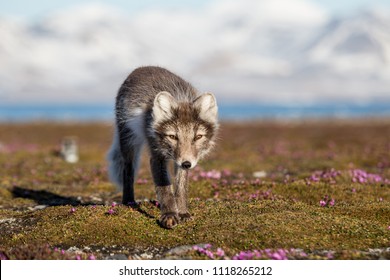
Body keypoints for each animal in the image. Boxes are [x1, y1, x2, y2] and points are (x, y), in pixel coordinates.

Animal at [108, 66, 218, 229]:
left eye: (198, 137)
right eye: (172, 136)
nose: (187, 164)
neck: (181, 98)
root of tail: (141, 68)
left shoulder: (182, 161)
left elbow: (181, 188)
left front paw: (182, 212)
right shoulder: (157, 155)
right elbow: (165, 187)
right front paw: (169, 215)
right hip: (127, 140)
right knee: (127, 170)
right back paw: (129, 201)